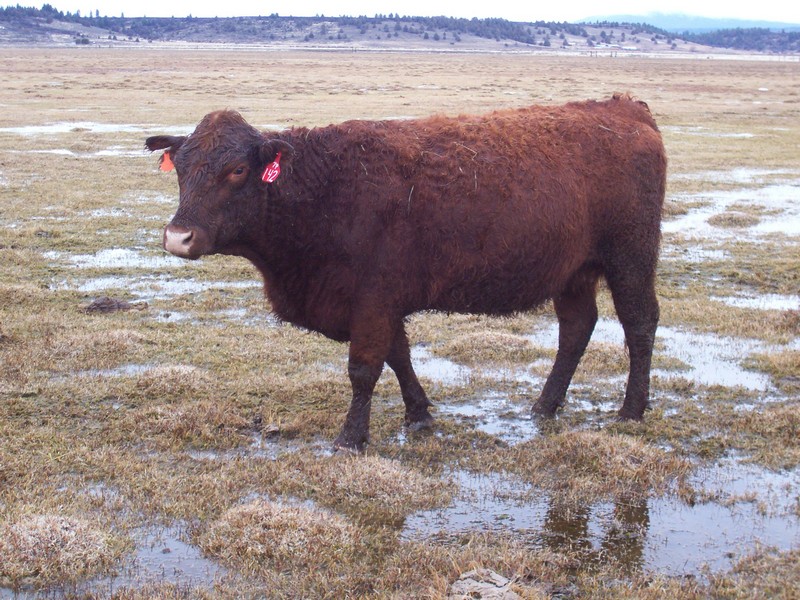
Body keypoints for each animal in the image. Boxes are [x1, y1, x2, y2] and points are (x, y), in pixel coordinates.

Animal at [145, 93, 667, 452]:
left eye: (236, 170)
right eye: (181, 168)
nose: (178, 237)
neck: (324, 189)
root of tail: (626, 109)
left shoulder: (373, 299)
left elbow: (364, 369)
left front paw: (350, 438)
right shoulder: (380, 303)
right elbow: (399, 355)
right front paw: (419, 414)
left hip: (631, 256)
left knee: (639, 323)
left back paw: (631, 411)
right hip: (574, 271)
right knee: (576, 329)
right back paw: (545, 406)